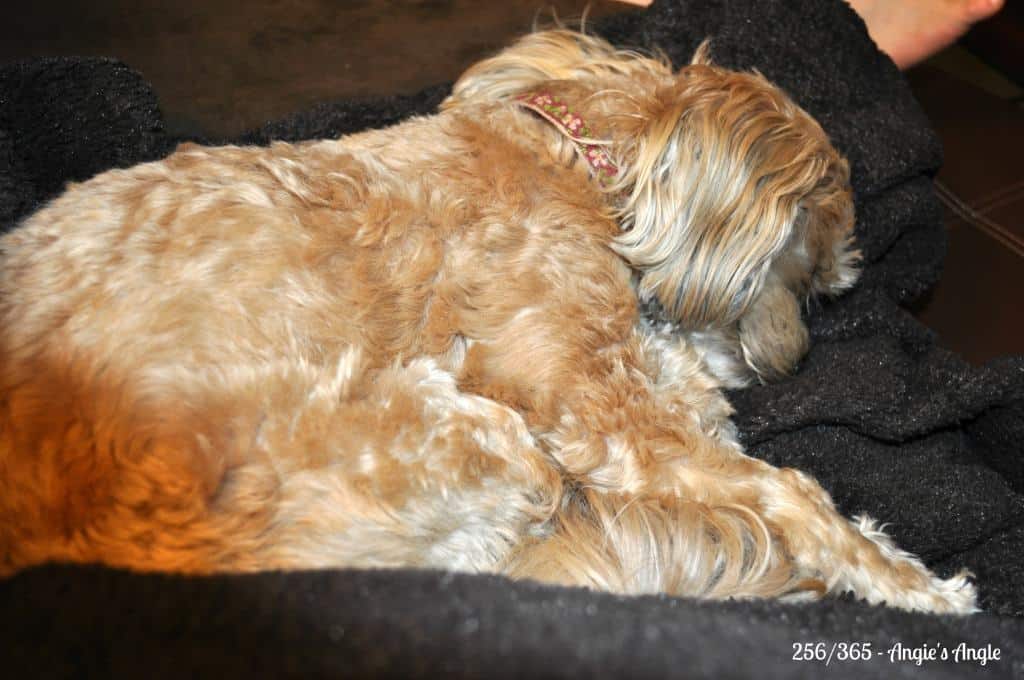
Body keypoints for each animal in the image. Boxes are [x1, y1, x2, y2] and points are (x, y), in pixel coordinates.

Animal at [0, 30, 974, 610]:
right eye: (809, 279)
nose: (791, 366)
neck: (573, 159)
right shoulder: (607, 417)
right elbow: (788, 491)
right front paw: (916, 586)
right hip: (459, 431)